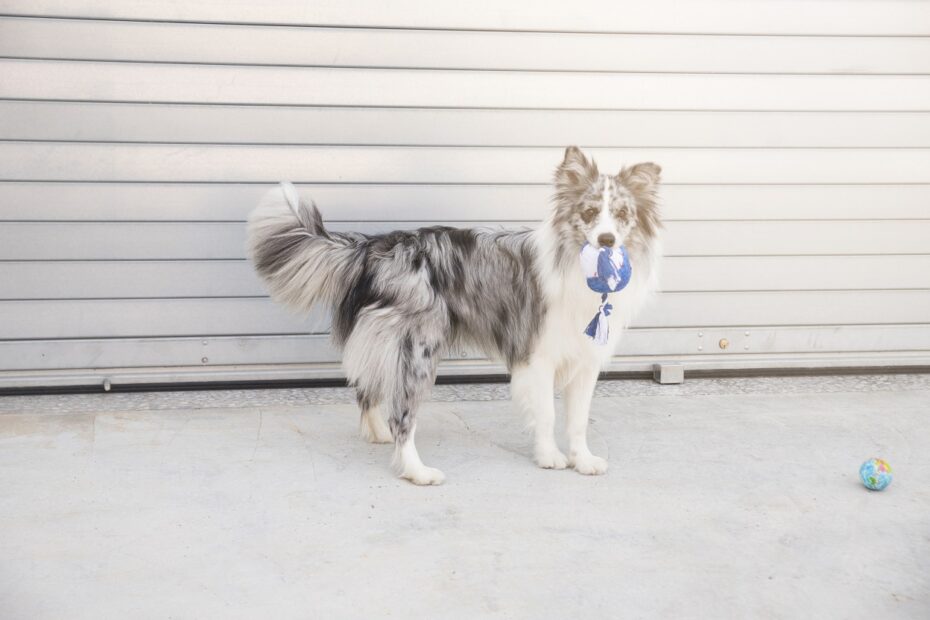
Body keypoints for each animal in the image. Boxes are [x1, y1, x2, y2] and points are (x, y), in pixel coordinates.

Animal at [243, 147, 656, 484]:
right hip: (418, 349)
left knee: (366, 386)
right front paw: (550, 457)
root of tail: (378, 246)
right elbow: (548, 414)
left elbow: (578, 419)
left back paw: (377, 434)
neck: (573, 263)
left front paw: (583, 460)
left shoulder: (585, 361)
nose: (606, 241)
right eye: (589, 213)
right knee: (402, 415)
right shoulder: (538, 355)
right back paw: (416, 470)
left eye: (622, 214)